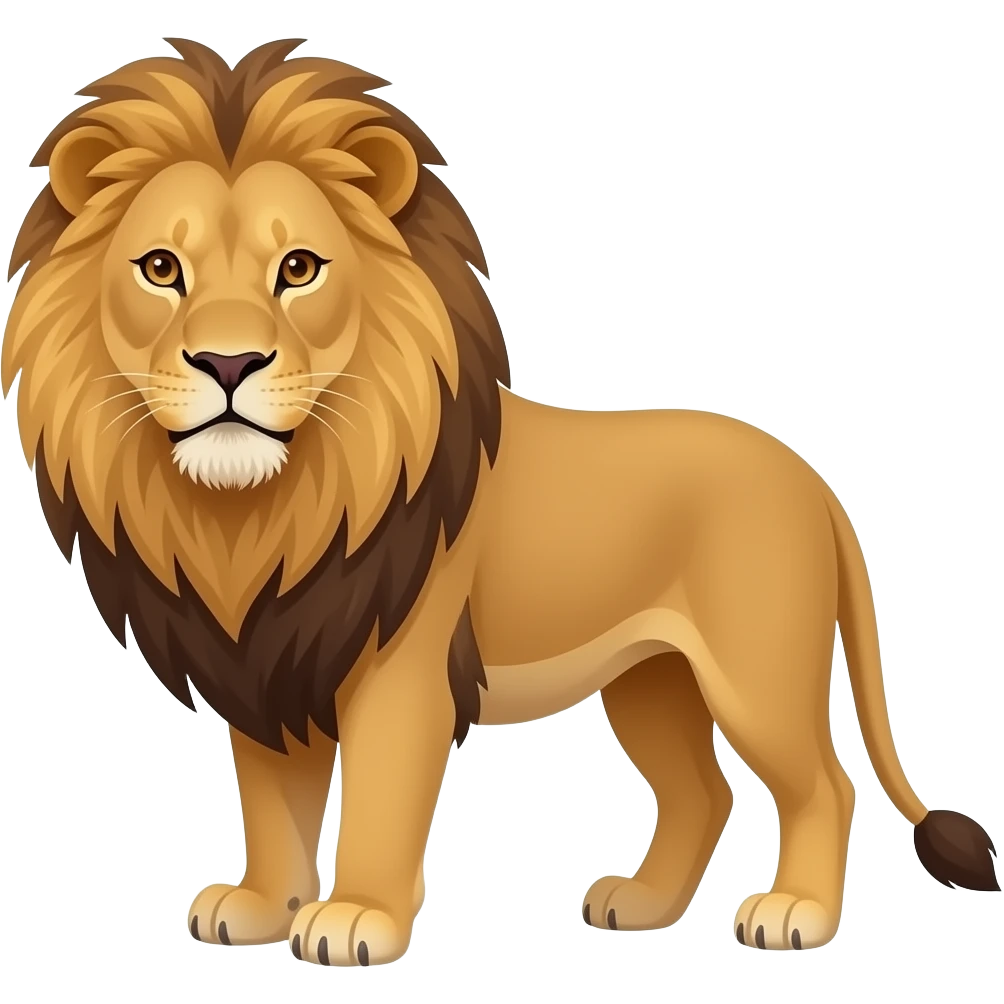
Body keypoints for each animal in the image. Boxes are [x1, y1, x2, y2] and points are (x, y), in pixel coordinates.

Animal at [3, 37, 998, 966]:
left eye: (300, 268)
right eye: (160, 268)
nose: (228, 362)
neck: (263, 509)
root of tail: (812, 479)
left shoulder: (399, 664)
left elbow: (379, 798)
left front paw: (356, 918)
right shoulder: (269, 653)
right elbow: (273, 799)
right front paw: (257, 908)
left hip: (755, 670)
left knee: (825, 784)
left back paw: (795, 916)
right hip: (652, 677)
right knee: (702, 791)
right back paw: (640, 906)